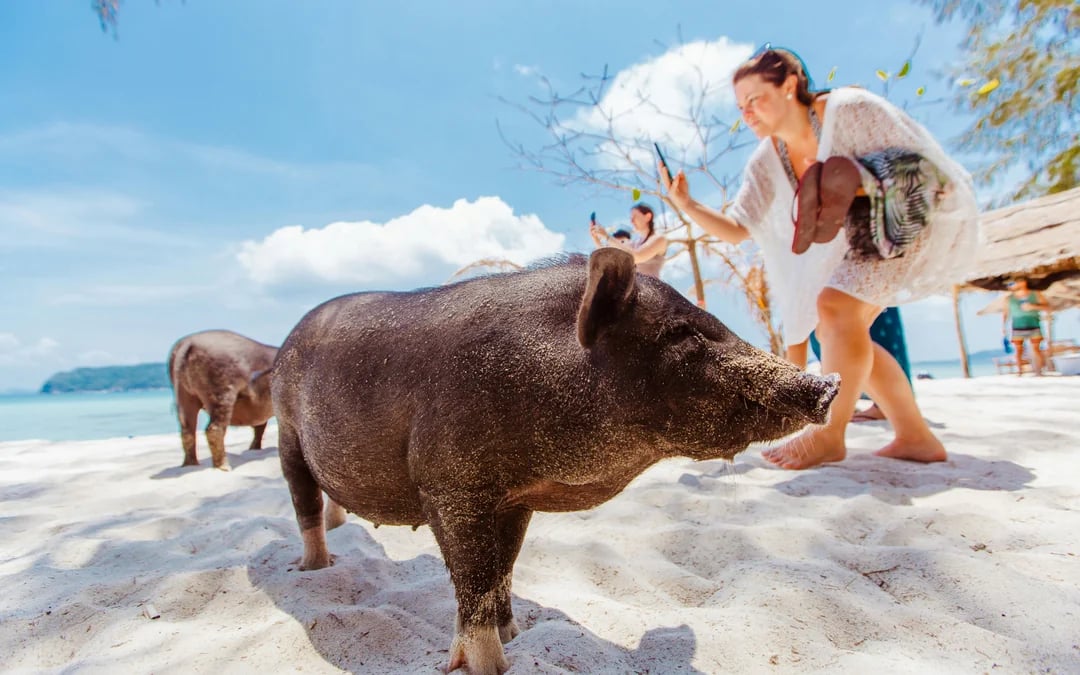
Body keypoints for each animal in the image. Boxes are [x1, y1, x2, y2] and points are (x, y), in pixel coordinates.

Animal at [167, 329, 278, 471]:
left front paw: (254, 449)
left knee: (187, 430)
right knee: (214, 429)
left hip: (182, 393)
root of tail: (187, 343)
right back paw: (225, 467)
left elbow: (260, 427)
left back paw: (190, 465)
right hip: (221, 388)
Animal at [272, 249, 839, 674]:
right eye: (682, 334)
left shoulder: (514, 500)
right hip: (286, 430)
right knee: (303, 503)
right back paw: (312, 568)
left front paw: (514, 633)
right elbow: (473, 579)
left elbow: (503, 569)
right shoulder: (450, 485)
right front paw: (487, 667)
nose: (829, 384)